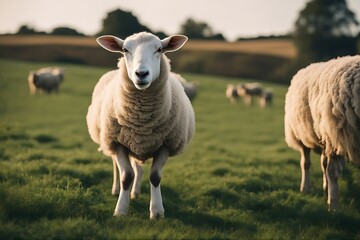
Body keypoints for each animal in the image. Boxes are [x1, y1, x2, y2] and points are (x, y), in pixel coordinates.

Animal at [86, 31, 195, 219]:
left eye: (159, 49)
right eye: (124, 50)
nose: (141, 74)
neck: (142, 121)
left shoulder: (166, 145)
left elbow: (155, 177)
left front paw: (157, 212)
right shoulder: (118, 143)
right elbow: (126, 176)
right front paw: (120, 210)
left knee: (139, 169)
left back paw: (135, 192)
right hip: (111, 140)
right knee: (118, 167)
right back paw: (116, 190)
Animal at [284, 54, 360, 210]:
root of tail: (309, 66)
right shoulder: (335, 137)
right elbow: (332, 172)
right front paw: (333, 205)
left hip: (324, 138)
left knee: (323, 164)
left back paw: (325, 188)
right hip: (304, 135)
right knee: (306, 163)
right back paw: (305, 188)